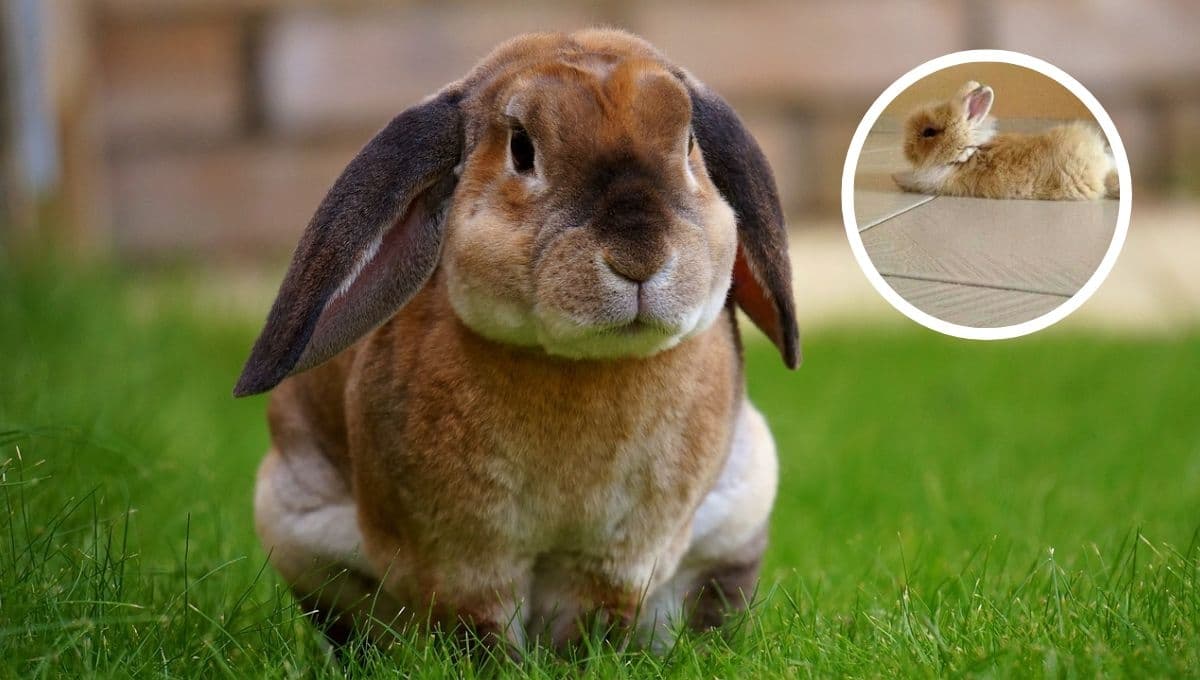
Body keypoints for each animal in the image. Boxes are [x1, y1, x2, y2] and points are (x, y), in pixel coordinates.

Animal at [235, 28, 799, 655]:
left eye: (690, 144)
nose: (639, 256)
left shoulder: (616, 560)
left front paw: (581, 661)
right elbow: (478, 627)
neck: (580, 365)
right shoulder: (464, 559)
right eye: (522, 150)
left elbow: (592, 621)